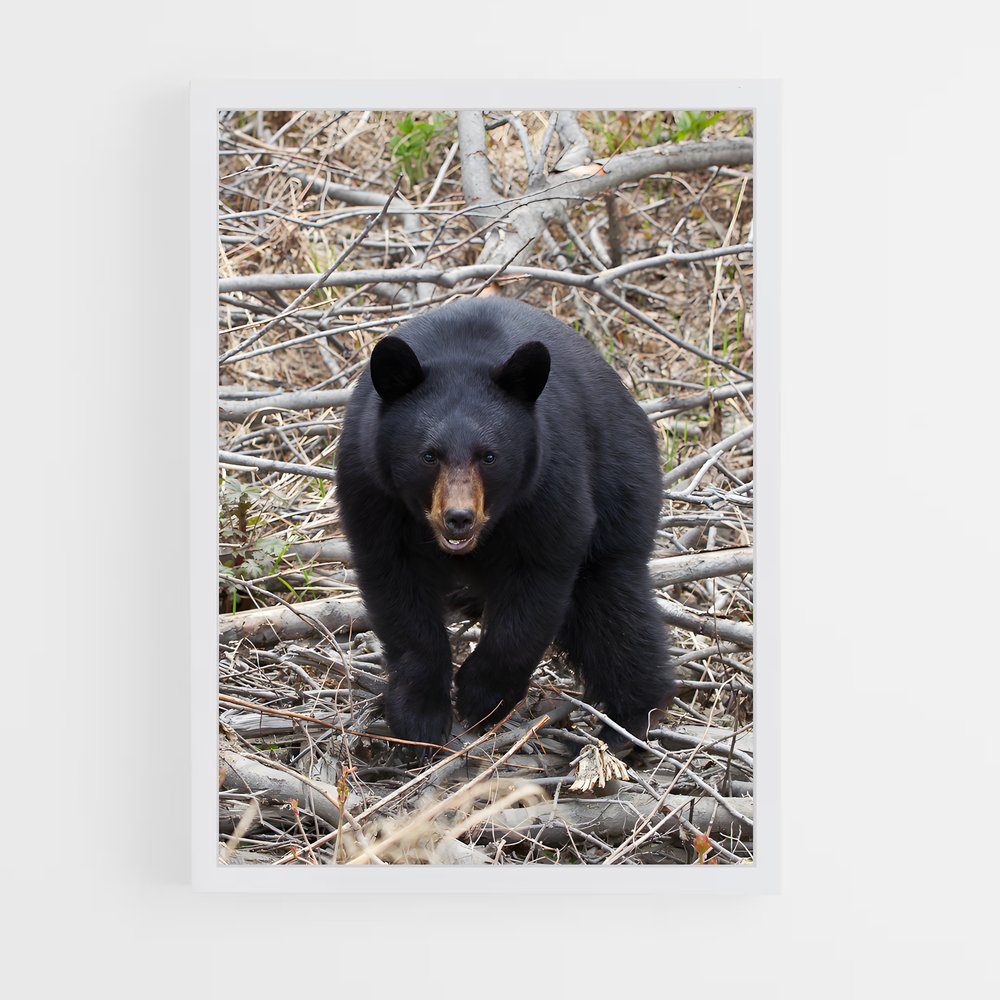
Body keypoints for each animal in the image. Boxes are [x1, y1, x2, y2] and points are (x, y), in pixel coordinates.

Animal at [335, 297, 673, 753]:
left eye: (489, 456)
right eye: (428, 455)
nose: (458, 518)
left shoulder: (549, 479)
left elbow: (537, 581)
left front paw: (483, 697)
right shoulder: (371, 487)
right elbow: (398, 590)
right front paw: (420, 716)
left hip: (622, 478)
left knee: (614, 603)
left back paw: (628, 724)